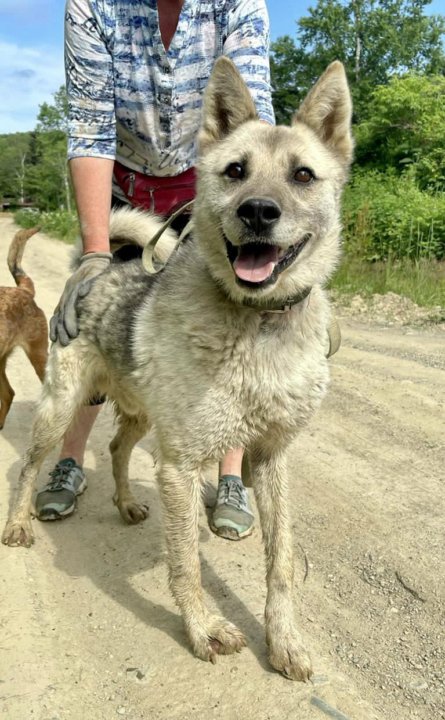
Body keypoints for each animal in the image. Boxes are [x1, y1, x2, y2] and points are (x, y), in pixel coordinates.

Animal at [1, 57, 352, 680]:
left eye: (303, 175)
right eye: (235, 171)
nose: (257, 212)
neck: (256, 324)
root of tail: (97, 270)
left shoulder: (271, 459)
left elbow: (281, 563)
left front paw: (284, 640)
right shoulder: (180, 467)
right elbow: (185, 562)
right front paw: (204, 629)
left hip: (143, 416)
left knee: (117, 448)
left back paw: (125, 503)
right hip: (61, 408)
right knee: (31, 466)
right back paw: (20, 521)